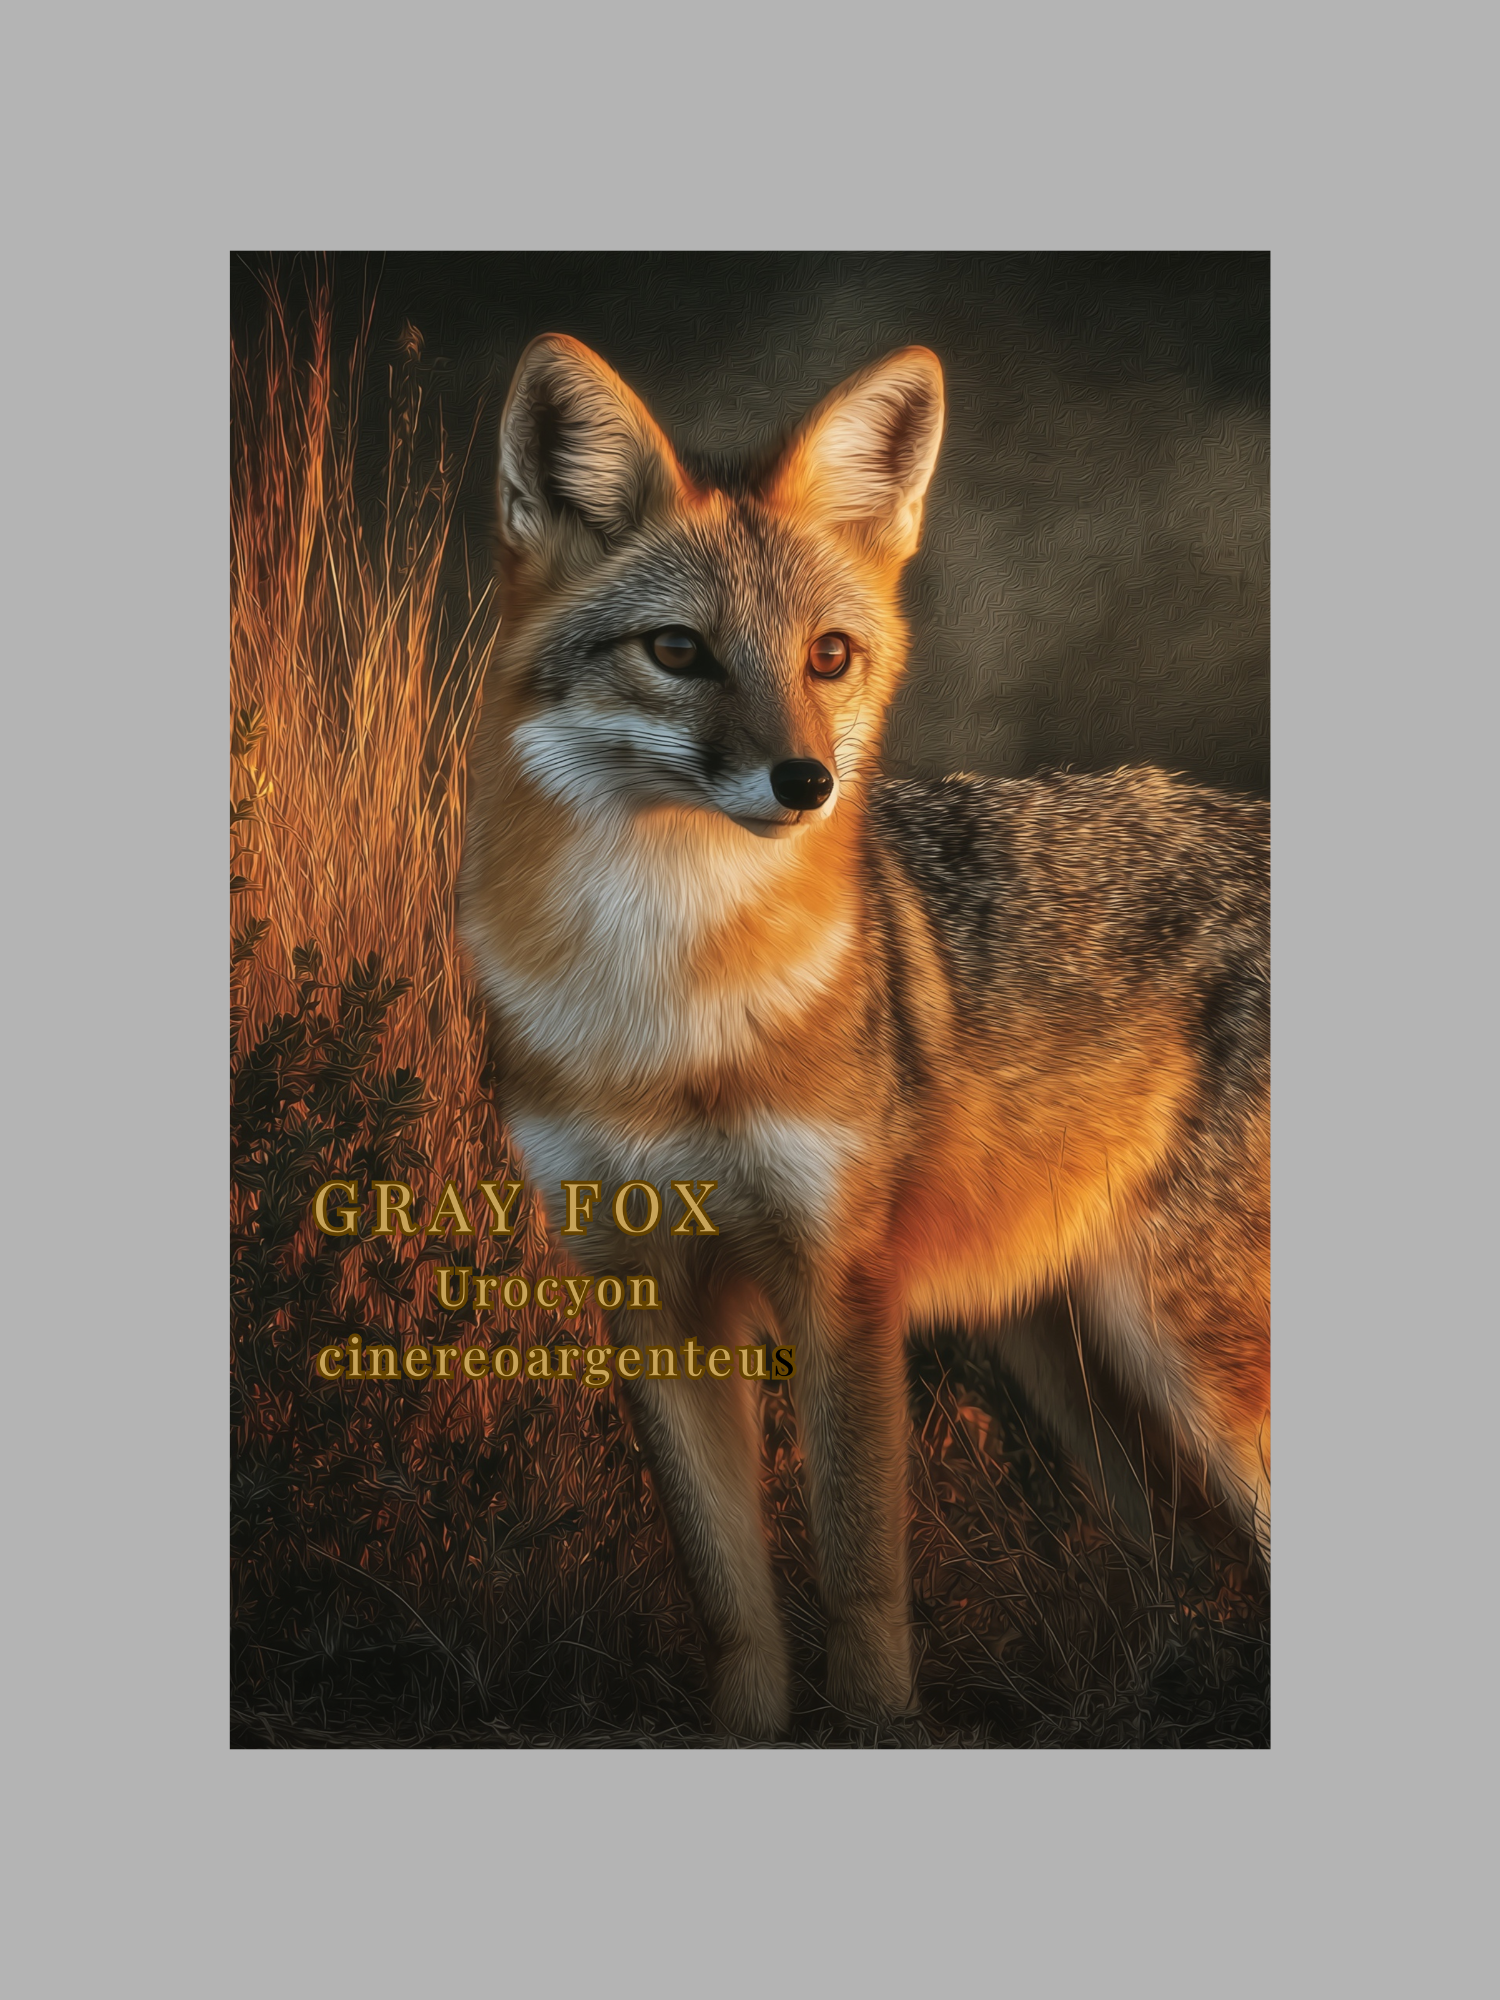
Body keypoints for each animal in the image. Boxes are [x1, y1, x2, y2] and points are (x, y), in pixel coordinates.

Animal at [458, 333, 1269, 1740]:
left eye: (829, 656)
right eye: (679, 650)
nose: (807, 781)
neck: (668, 1018)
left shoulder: (839, 1281)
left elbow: (859, 1570)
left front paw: (881, 1724)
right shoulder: (646, 1287)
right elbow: (729, 1586)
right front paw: (744, 1730)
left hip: (1184, 1353)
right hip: (1081, 1365)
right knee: (1188, 1563)